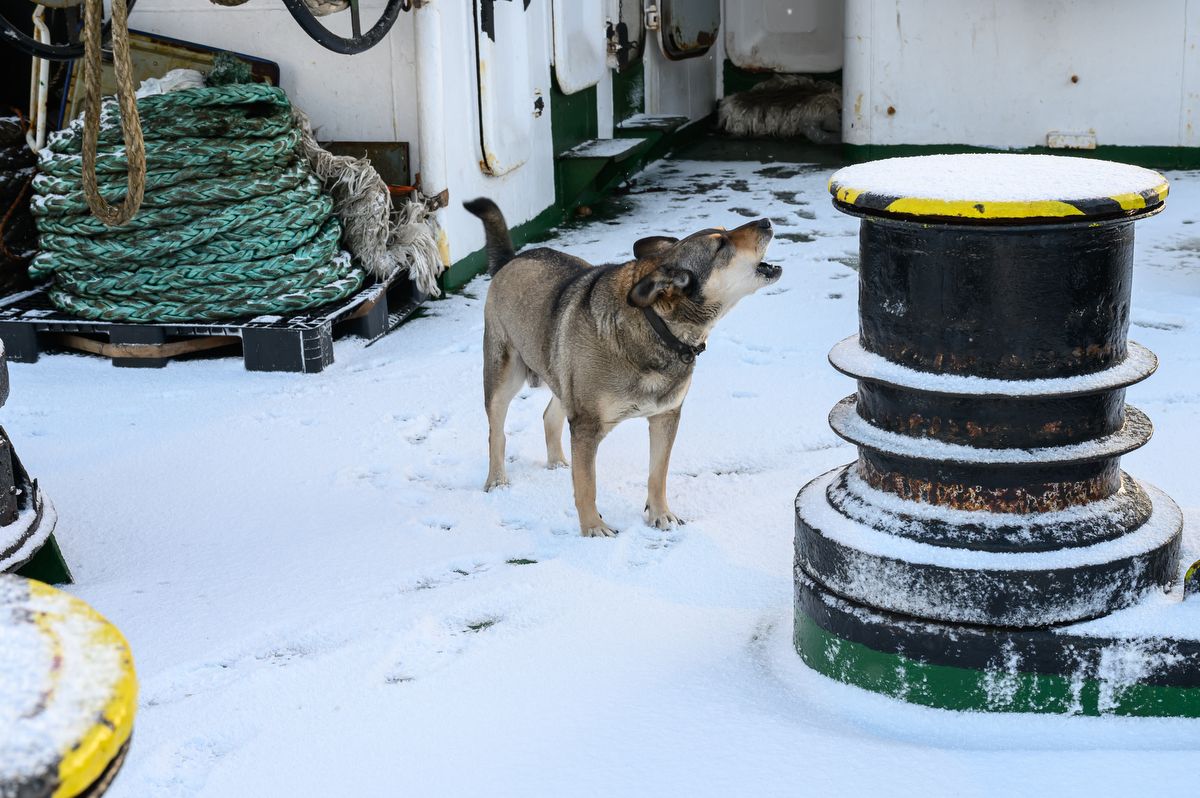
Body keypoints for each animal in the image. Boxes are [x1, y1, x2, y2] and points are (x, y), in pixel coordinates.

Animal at [458, 196, 777, 537]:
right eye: (721, 245)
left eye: (724, 230)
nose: (766, 221)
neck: (656, 324)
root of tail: (511, 259)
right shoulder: (586, 423)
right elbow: (587, 484)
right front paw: (593, 528)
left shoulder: (666, 415)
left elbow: (657, 473)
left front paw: (660, 514)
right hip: (504, 375)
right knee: (497, 432)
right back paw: (497, 480)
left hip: (561, 373)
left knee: (549, 416)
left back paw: (557, 462)